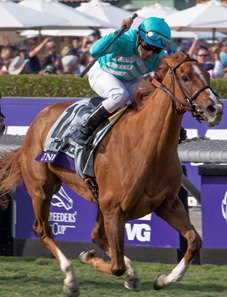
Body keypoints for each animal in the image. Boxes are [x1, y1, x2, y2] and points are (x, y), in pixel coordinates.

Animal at [0, 52, 223, 294]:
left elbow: (194, 240)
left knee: (96, 235)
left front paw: (163, 279)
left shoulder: (167, 203)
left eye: (207, 74)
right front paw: (90, 259)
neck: (145, 146)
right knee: (43, 229)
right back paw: (71, 278)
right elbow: (116, 266)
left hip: (99, 201)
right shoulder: (115, 210)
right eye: (185, 77)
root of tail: (37, 122)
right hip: (42, 189)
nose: (215, 109)